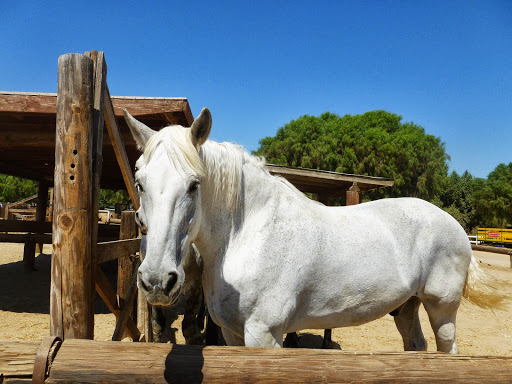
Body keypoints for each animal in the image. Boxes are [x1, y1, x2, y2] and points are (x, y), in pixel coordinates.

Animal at [123, 106, 504, 352]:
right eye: (140, 183)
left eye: (194, 185)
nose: (157, 281)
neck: (247, 237)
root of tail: (454, 224)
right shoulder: (231, 334)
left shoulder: (264, 334)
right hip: (406, 307)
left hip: (442, 309)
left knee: (446, 348)